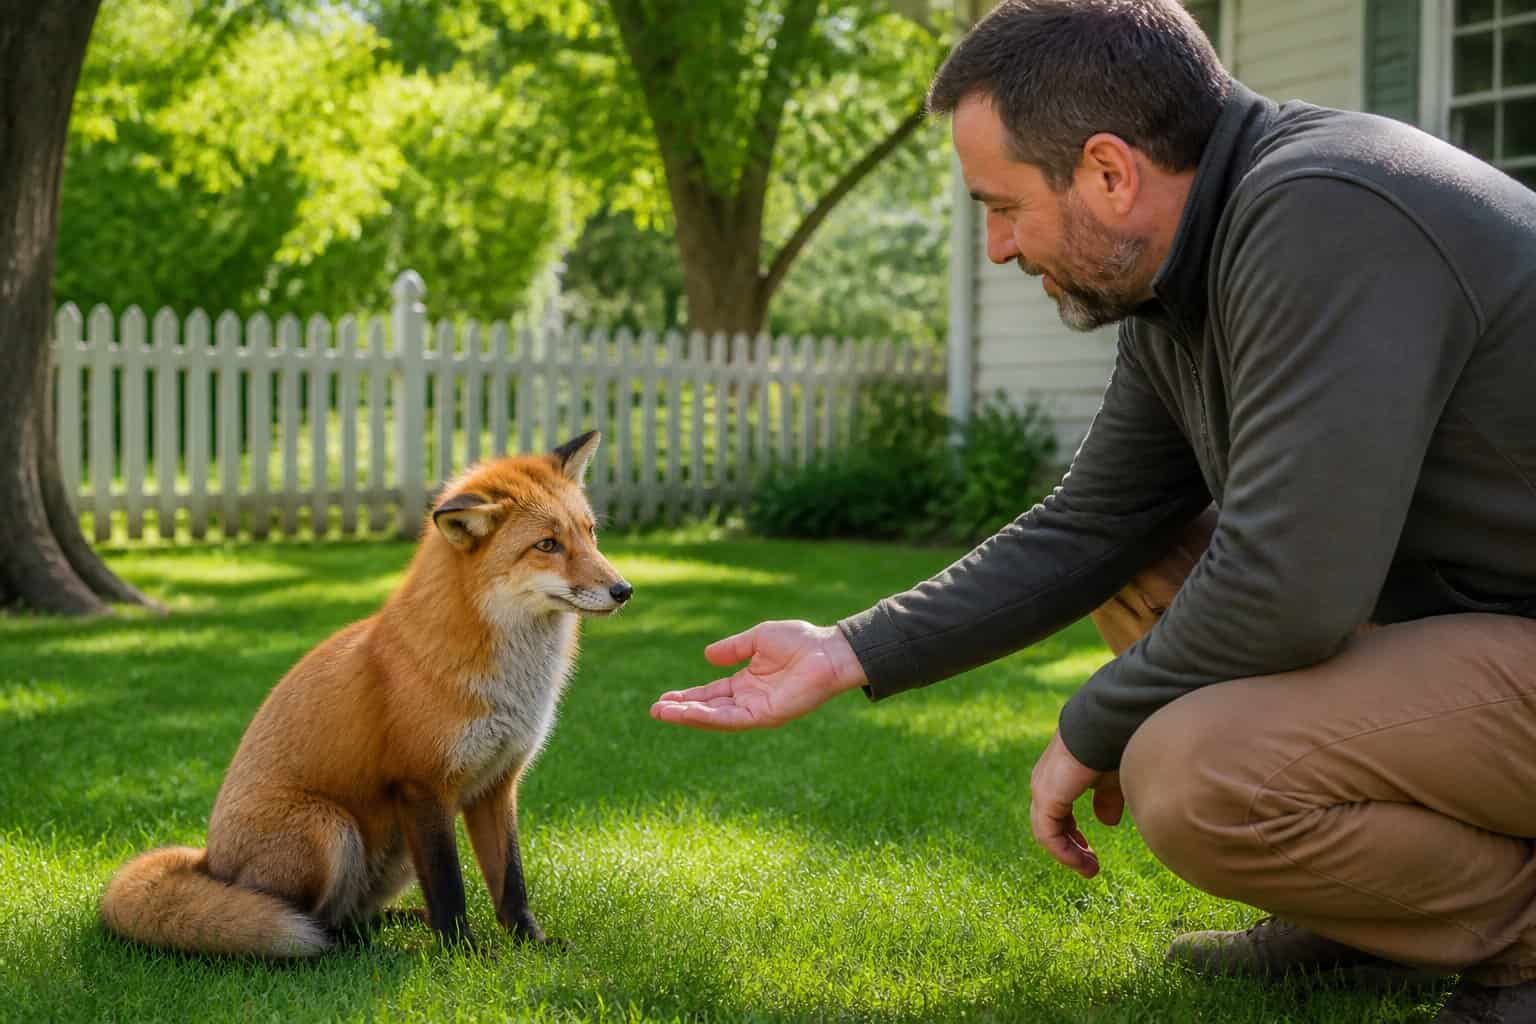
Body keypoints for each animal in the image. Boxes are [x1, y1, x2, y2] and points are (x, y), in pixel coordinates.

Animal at [100, 431, 630, 958]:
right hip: (331, 830)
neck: (512, 683)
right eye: (547, 545)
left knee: (353, 915)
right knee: (298, 921)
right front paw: (462, 952)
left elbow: (511, 883)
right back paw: (347, 946)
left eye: (589, 534)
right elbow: (449, 886)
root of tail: (209, 861)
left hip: (394, 854)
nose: (624, 589)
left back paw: (396, 923)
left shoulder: (496, 786)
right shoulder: (423, 785)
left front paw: (531, 943)